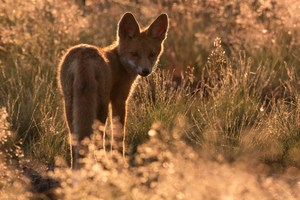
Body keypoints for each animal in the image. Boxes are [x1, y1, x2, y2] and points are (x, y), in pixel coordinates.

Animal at [56, 12, 169, 167]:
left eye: (152, 54)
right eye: (134, 53)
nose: (145, 71)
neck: (119, 63)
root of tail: (84, 55)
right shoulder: (119, 100)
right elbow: (119, 134)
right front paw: (120, 161)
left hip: (69, 104)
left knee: (75, 139)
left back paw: (76, 167)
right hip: (101, 105)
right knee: (98, 138)